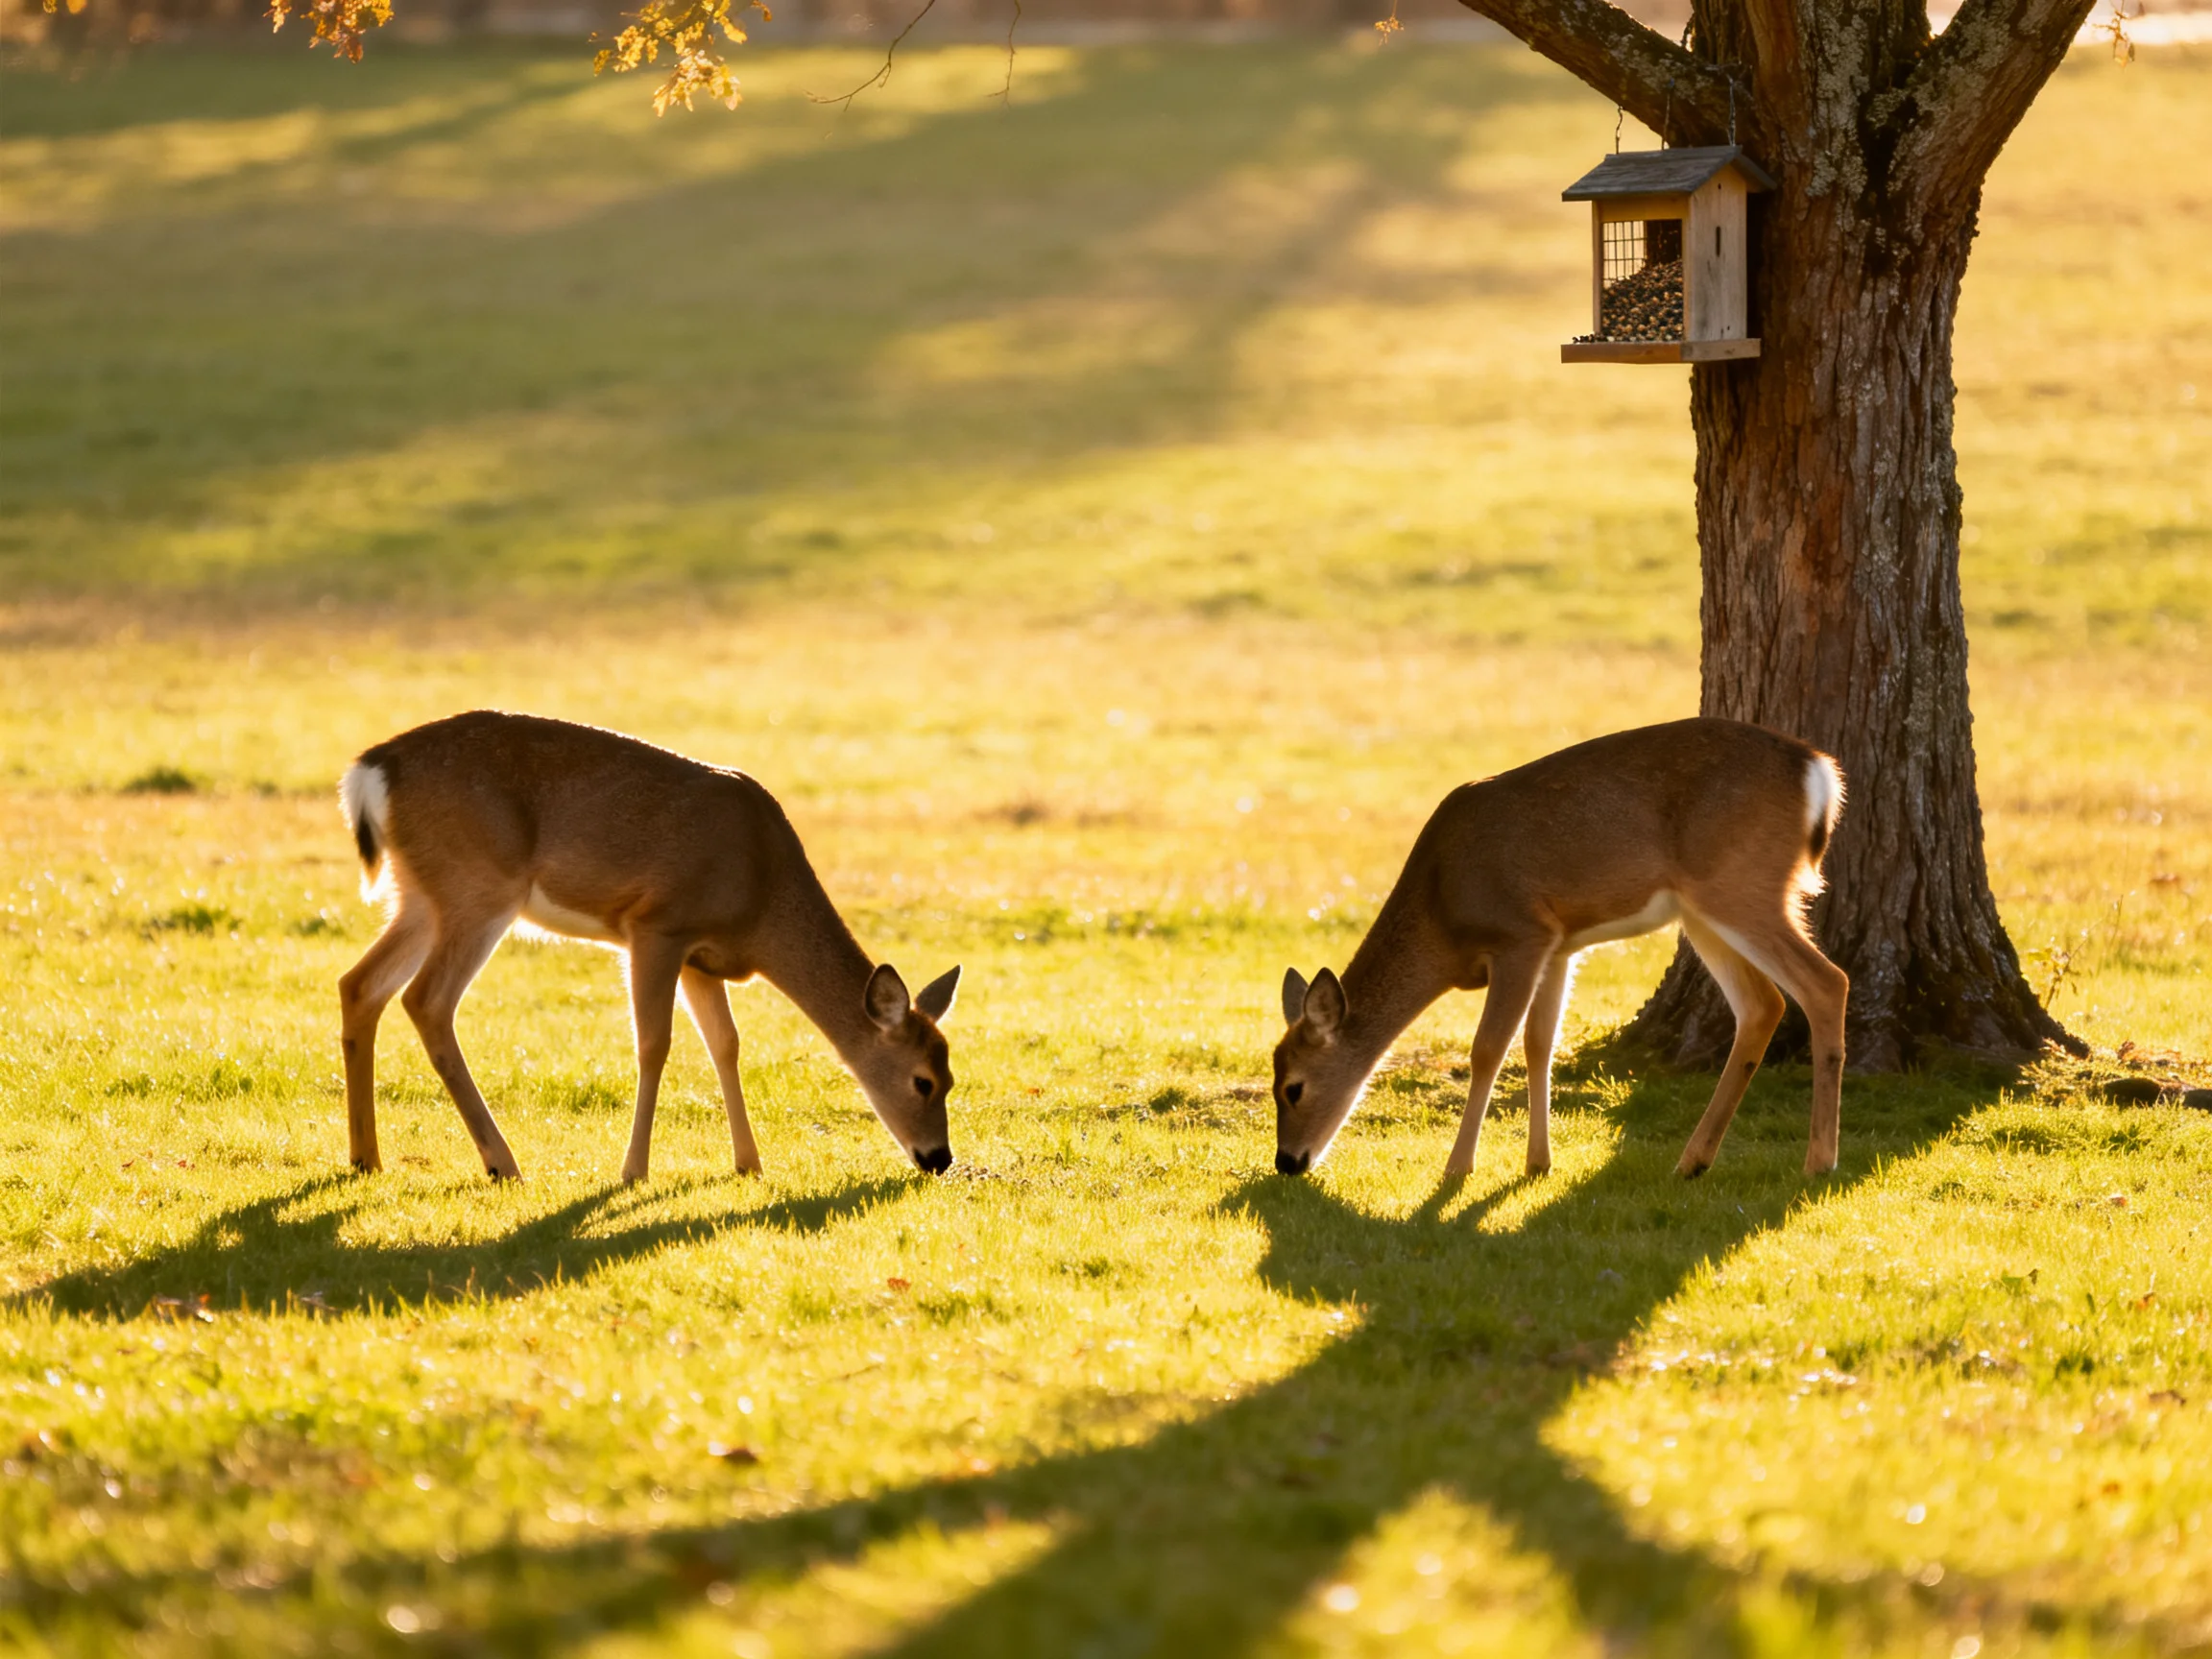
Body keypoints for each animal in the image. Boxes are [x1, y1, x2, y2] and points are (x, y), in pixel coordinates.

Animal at [335, 711, 963, 1184]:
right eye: (923, 1081)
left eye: (952, 1078)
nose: (939, 1158)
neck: (762, 899)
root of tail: (372, 770)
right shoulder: (657, 926)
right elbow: (655, 1044)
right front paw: (633, 1170)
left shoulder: (702, 958)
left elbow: (725, 1044)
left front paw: (749, 1164)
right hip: (479, 886)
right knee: (426, 1000)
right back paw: (502, 1163)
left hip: (420, 894)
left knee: (360, 984)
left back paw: (367, 1158)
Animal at [1272, 718, 1848, 1183]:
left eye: (1293, 1088)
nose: (1287, 1162)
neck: (1442, 913)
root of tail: (1819, 771)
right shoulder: (1560, 945)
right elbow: (1539, 1044)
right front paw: (1537, 1163)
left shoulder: (1519, 934)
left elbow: (1488, 1048)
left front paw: (1458, 1168)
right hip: (1704, 910)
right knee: (1763, 1005)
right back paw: (1693, 1161)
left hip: (1740, 884)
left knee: (1826, 982)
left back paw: (1818, 1161)